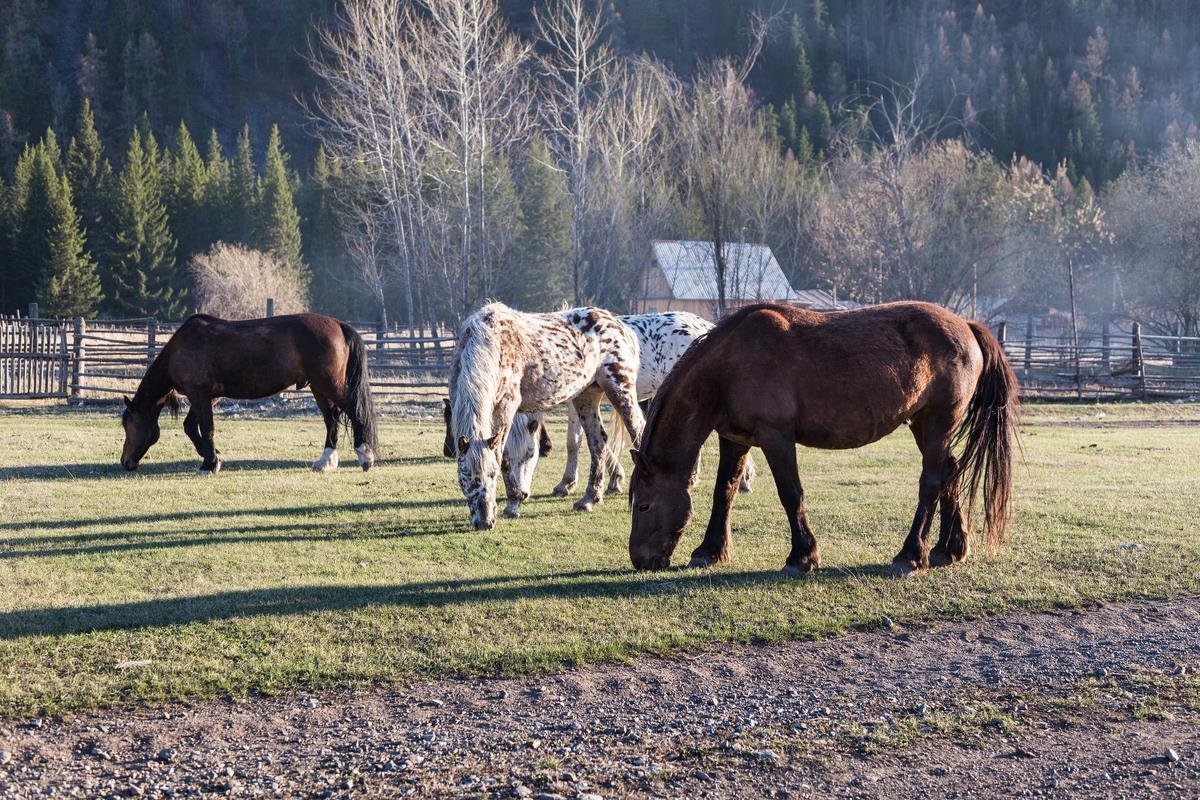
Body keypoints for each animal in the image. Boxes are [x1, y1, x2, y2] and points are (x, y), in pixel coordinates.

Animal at [120, 311, 374, 474]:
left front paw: (209, 464)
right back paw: (325, 462)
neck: (180, 348)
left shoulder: (199, 394)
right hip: (319, 388)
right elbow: (191, 427)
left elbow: (206, 428)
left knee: (354, 413)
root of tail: (339, 325)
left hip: (329, 385)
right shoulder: (210, 397)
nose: (125, 462)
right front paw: (212, 457)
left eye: (128, 424)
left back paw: (366, 456)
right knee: (331, 420)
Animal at [446, 303, 643, 527]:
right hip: (587, 396)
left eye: (492, 474)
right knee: (598, 443)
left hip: (620, 389)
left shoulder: (506, 405)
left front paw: (513, 504)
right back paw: (589, 499)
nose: (484, 521)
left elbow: (503, 458)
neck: (492, 342)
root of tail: (621, 326)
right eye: (465, 476)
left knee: (637, 430)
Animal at [501, 309, 753, 515]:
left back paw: (742, 481)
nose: (522, 494)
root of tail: (706, 327)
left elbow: (576, 442)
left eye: (530, 454)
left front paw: (575, 483)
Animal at [624, 303, 1017, 578]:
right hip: (924, 425)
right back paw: (948, 549)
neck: (729, 366)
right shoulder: (734, 438)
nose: (640, 560)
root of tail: (967, 326)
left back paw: (910, 556)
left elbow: (790, 494)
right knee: (950, 472)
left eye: (643, 505)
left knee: (932, 481)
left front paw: (802, 557)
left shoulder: (776, 437)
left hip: (936, 422)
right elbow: (725, 491)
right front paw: (709, 551)